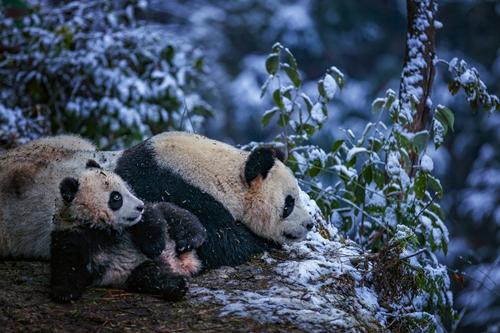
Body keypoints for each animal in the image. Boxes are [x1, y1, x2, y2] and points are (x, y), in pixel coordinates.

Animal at [49, 165, 206, 302]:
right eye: (116, 197)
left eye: (128, 189)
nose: (139, 206)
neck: (103, 228)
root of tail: (180, 263)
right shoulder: (73, 234)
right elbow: (67, 263)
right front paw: (64, 293)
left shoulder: (139, 220)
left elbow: (151, 218)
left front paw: (154, 246)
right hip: (132, 273)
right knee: (151, 277)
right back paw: (177, 284)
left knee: (173, 214)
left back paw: (188, 241)